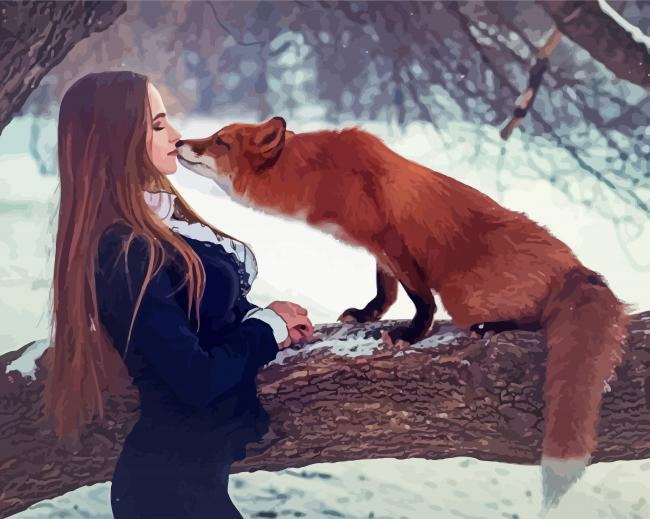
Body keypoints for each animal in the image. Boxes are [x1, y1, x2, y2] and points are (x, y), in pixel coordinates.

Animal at [176, 116, 629, 512]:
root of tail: (577, 268)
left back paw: (495, 326)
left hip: (463, 293)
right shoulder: (379, 251)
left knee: (534, 319)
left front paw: (412, 334)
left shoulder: (392, 241)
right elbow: (386, 291)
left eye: (219, 141)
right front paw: (367, 314)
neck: (322, 175)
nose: (179, 141)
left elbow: (419, 298)